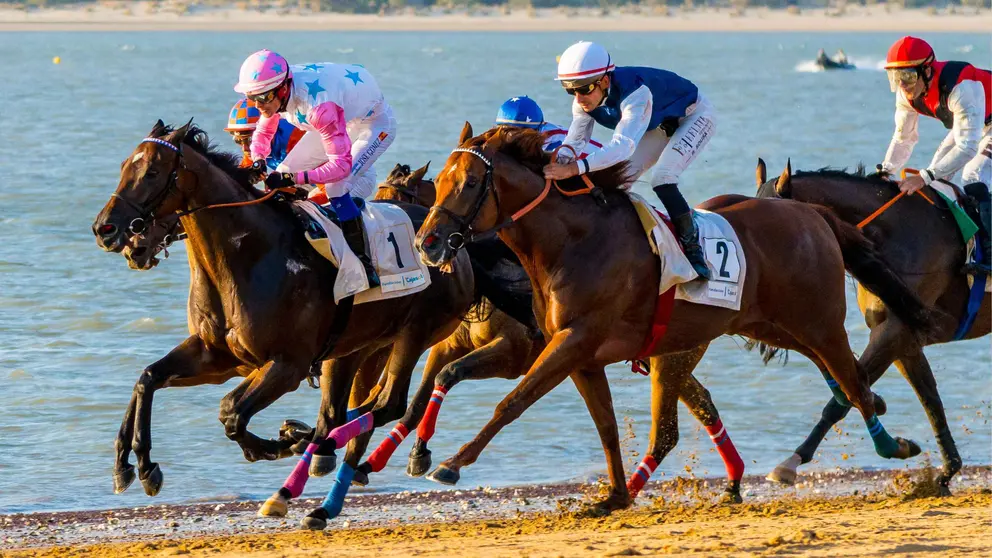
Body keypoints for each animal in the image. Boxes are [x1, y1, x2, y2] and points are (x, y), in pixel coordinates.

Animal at [90, 120, 518, 499]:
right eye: (125, 166)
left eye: (151, 171)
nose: (105, 229)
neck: (248, 256)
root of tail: (456, 247)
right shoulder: (217, 355)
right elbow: (148, 379)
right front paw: (136, 465)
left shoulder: (287, 365)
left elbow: (231, 412)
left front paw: (267, 447)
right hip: (356, 345)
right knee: (338, 412)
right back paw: (311, 443)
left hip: (415, 332)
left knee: (390, 404)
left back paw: (307, 444)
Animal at [414, 123, 937, 513]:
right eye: (438, 182)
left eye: (470, 183)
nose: (427, 243)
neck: (572, 242)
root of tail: (811, 213)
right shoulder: (581, 355)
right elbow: (605, 426)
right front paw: (614, 496)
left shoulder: (572, 341)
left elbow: (512, 402)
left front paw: (451, 462)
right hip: (769, 325)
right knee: (843, 374)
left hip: (817, 321)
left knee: (851, 378)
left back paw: (893, 446)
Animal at [754, 160, 990, 494]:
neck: (893, 233)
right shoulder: (904, 338)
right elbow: (931, 401)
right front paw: (945, 473)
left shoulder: (894, 331)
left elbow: (844, 397)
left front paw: (791, 462)